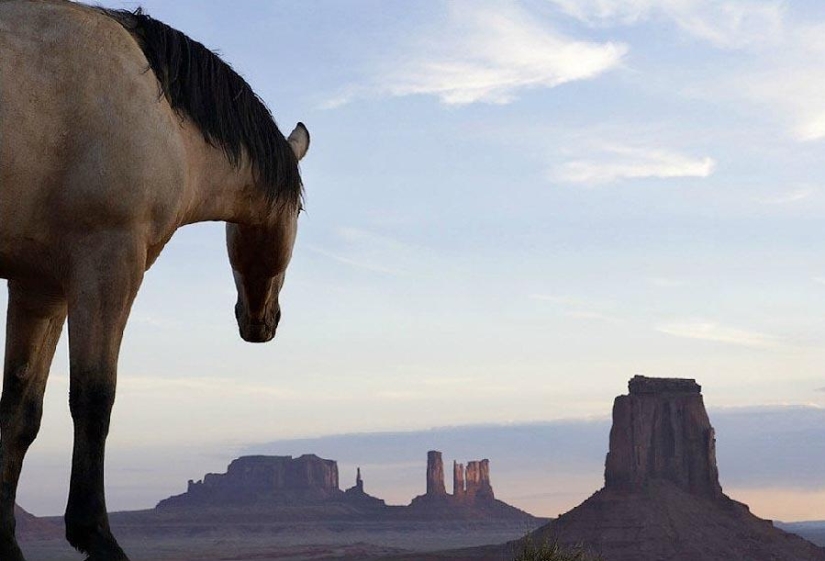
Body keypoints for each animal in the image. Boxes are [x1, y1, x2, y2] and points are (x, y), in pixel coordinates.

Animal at [0, 2, 309, 559]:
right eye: (297, 210)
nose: (262, 322)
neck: (165, 121)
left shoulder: (40, 288)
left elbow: (20, 412)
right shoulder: (108, 267)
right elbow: (94, 399)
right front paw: (94, 534)